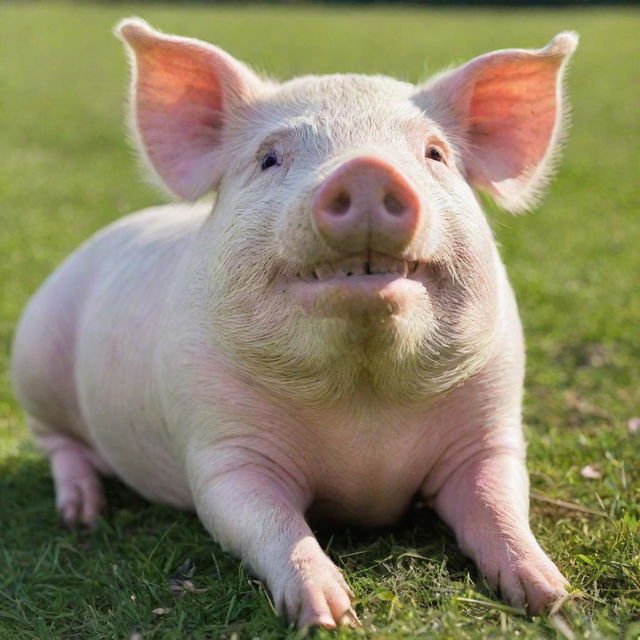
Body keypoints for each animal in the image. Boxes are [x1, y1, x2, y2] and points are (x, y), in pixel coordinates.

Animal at [12, 18, 576, 632]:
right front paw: (330, 616)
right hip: (33, 361)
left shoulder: (491, 424)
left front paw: (553, 596)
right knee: (59, 445)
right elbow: (264, 520)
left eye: (434, 153)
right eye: (269, 158)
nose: (366, 169)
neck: (365, 411)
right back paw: (81, 515)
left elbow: (498, 499)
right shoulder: (222, 445)